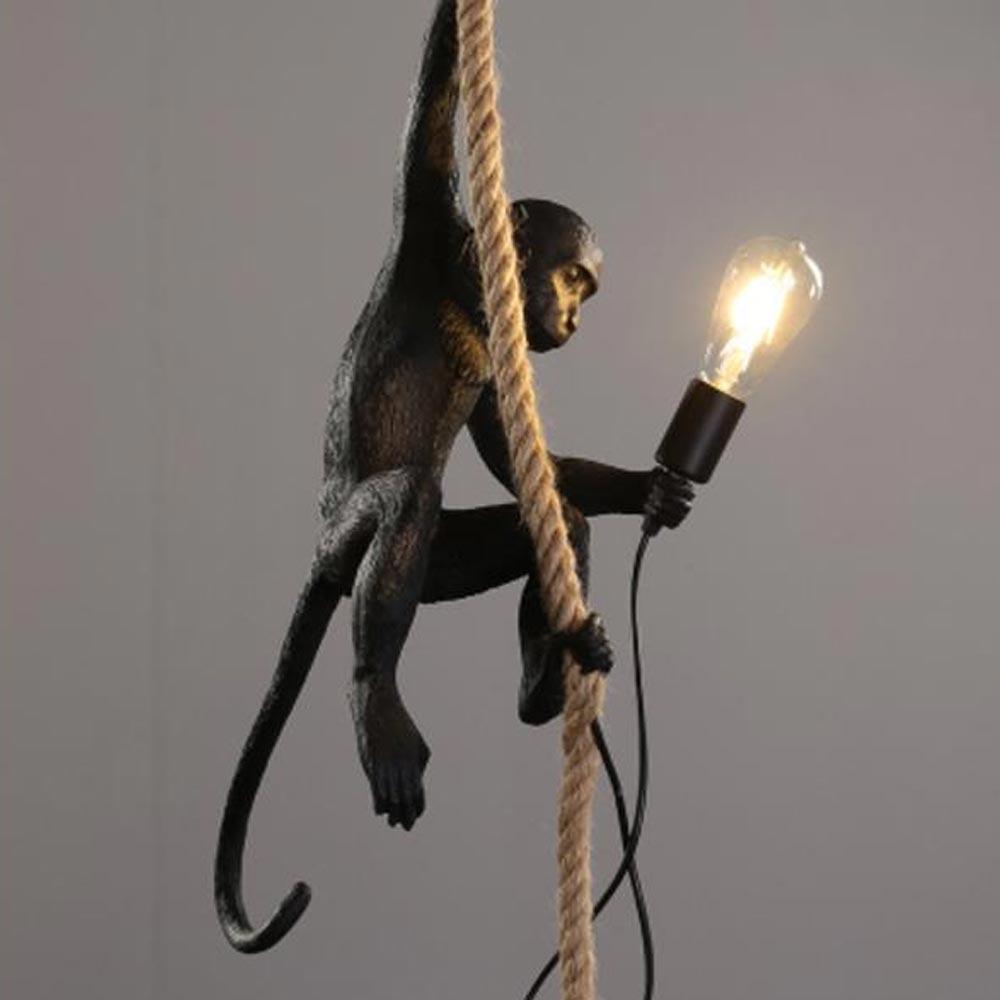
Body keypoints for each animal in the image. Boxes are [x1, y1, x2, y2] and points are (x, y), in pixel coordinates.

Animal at [214, 0, 693, 955]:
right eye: (573, 276)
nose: (574, 318)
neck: (474, 292)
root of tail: (322, 563)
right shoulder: (428, 222)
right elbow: (428, 121)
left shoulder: (499, 362)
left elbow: (528, 467)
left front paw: (649, 489)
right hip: (351, 541)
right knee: (408, 499)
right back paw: (377, 705)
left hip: (443, 563)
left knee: (553, 523)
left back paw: (548, 680)